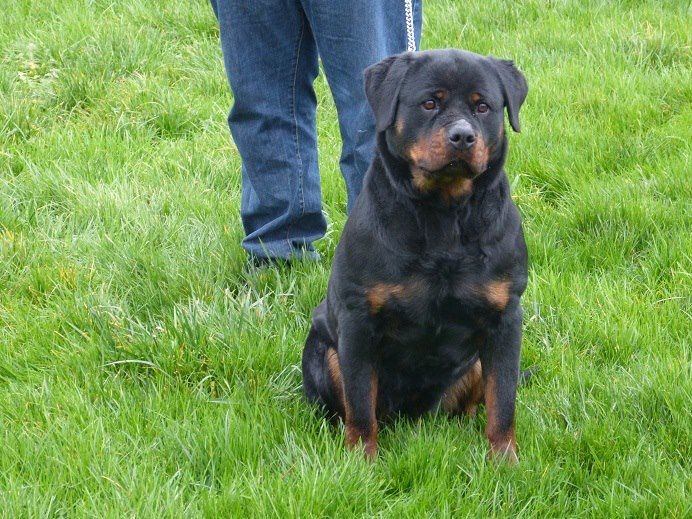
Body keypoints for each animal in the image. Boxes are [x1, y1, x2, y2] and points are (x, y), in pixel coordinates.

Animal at [302, 49, 529, 462]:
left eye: (483, 107)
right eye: (429, 104)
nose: (462, 135)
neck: (443, 215)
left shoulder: (505, 319)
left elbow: (503, 400)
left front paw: (505, 462)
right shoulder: (357, 322)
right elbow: (360, 404)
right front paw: (362, 461)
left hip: (474, 364)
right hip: (324, 354)